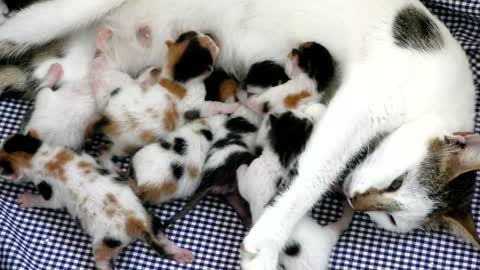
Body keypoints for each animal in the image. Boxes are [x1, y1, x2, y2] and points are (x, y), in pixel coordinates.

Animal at [0, 134, 195, 270]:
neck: (44, 158)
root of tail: (136, 224)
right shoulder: (80, 155)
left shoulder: (49, 188)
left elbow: (49, 202)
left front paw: (27, 198)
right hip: (150, 218)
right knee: (161, 236)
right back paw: (182, 254)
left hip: (105, 244)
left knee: (103, 262)